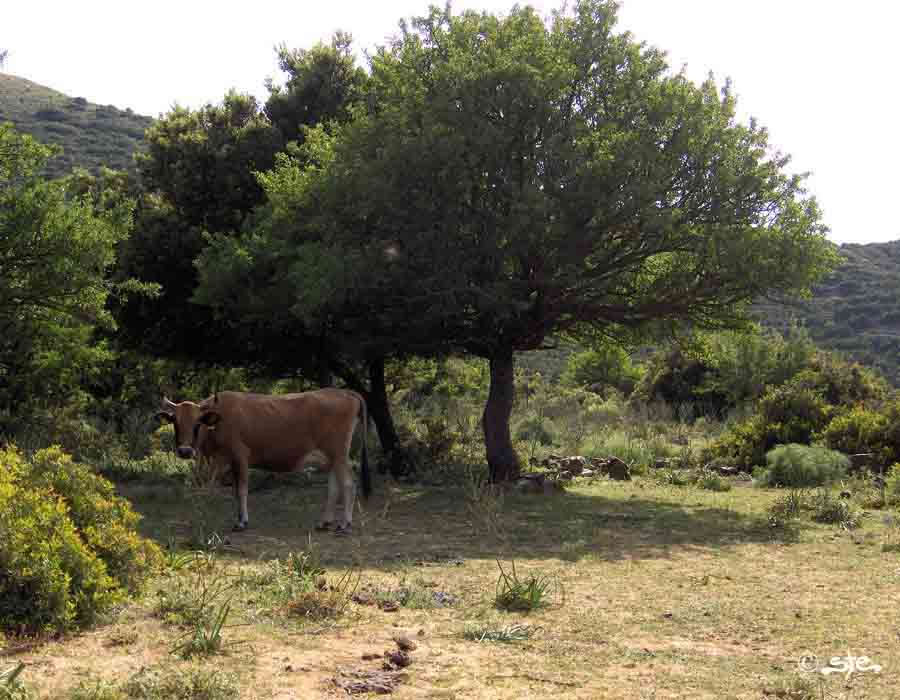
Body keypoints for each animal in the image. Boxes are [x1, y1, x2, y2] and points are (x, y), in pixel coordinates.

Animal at [155, 392, 370, 532]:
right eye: (175, 422)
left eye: (197, 424)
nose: (184, 451)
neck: (220, 420)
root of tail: (344, 392)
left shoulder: (240, 457)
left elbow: (241, 490)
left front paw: (242, 522)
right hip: (332, 457)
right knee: (334, 487)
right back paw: (325, 522)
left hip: (339, 454)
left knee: (348, 484)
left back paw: (345, 524)